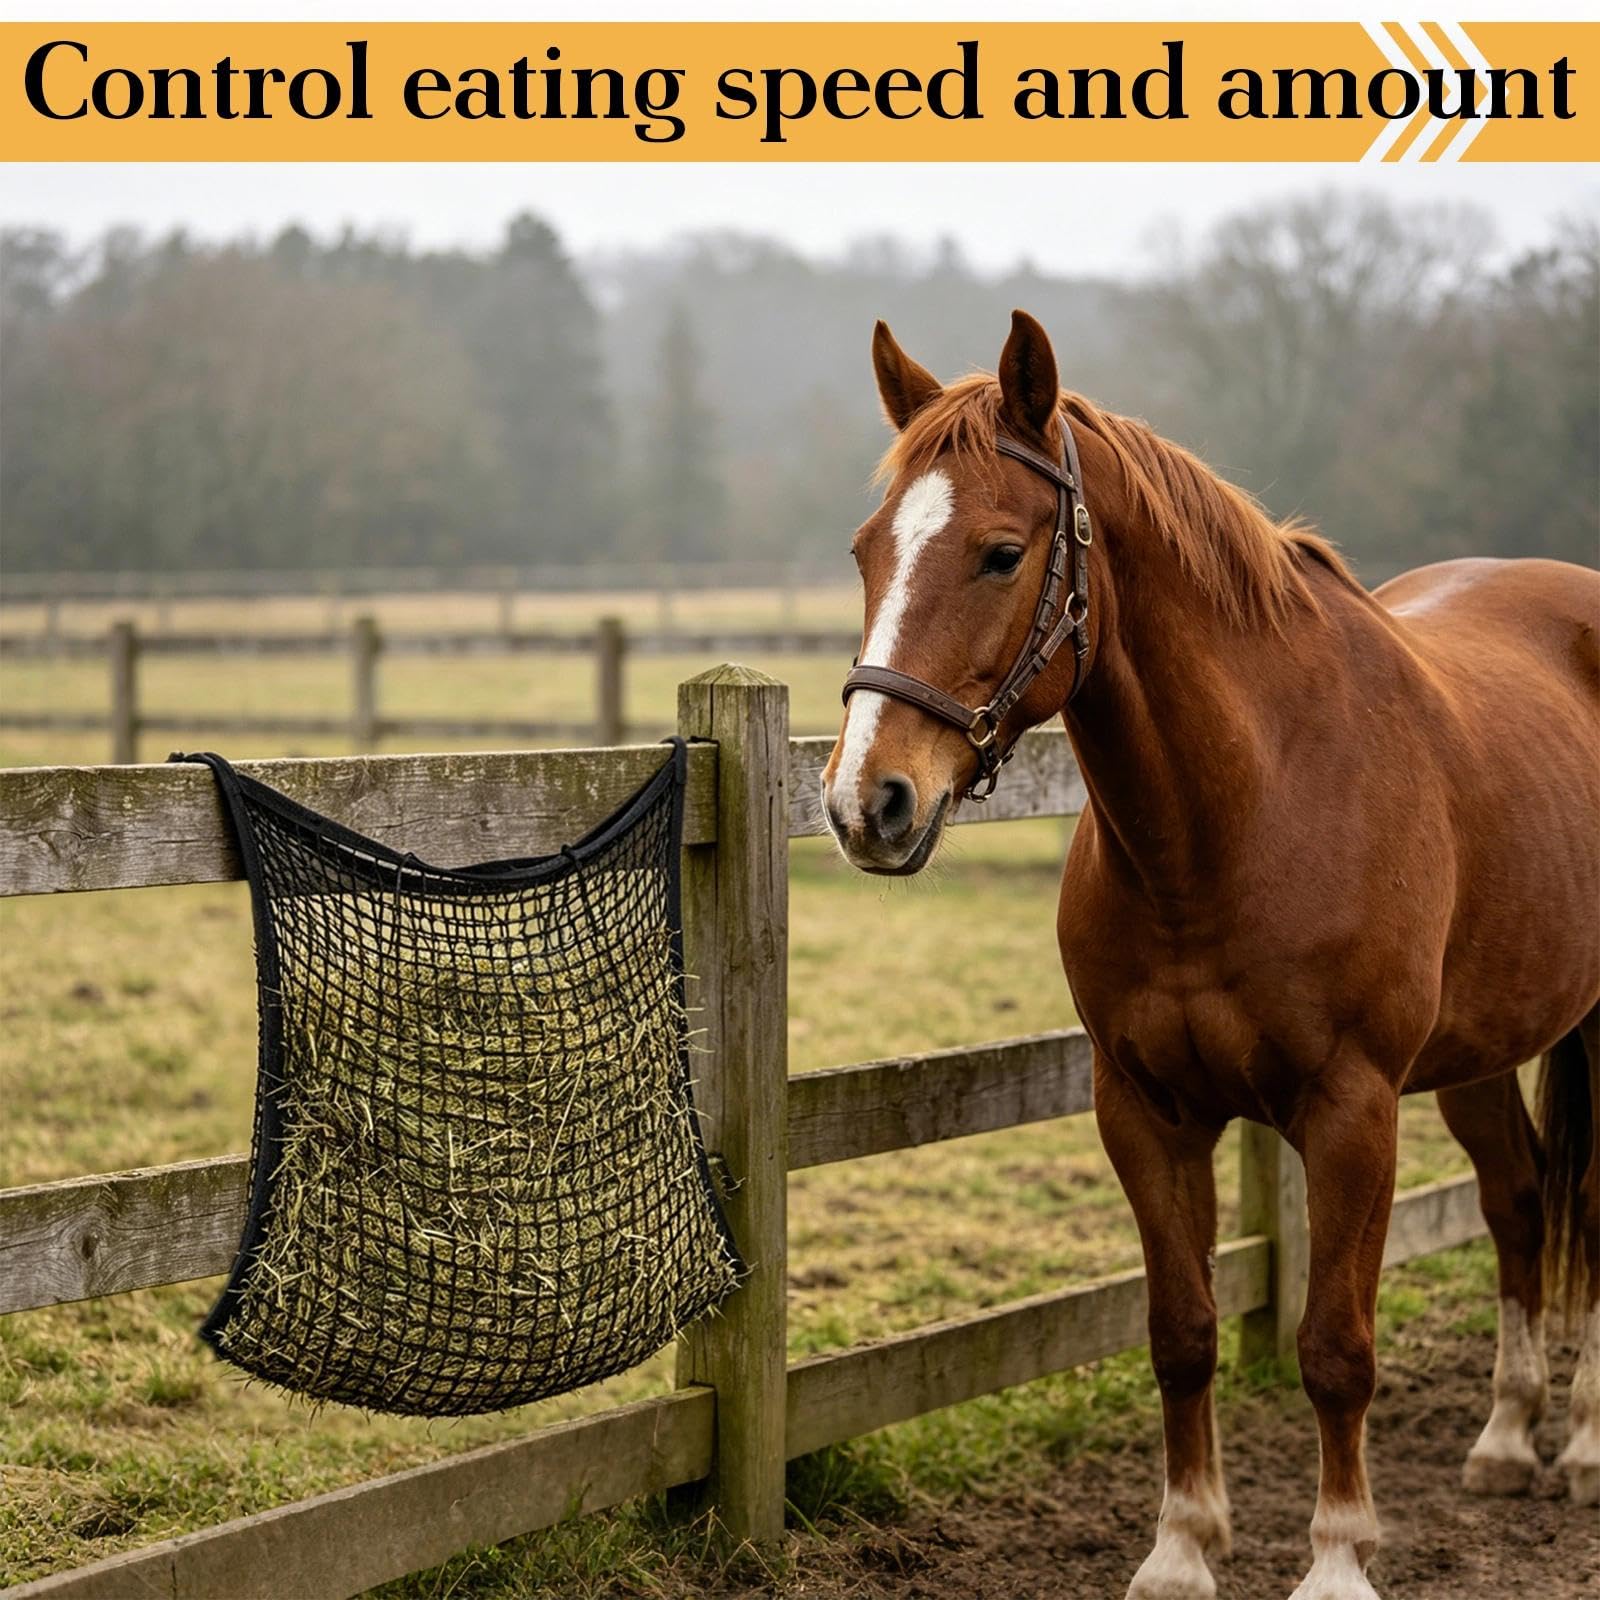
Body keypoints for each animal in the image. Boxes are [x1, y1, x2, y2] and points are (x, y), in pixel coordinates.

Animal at [820, 310, 1599, 1600]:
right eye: (867, 550)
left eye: (998, 553)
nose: (862, 801)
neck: (1241, 808)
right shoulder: (1143, 1106)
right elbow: (1180, 1332)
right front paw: (1182, 1546)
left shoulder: (1350, 1108)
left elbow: (1334, 1346)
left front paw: (1336, 1559)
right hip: (1484, 1047)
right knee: (1522, 1197)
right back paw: (1504, 1436)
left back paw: (1581, 1445)